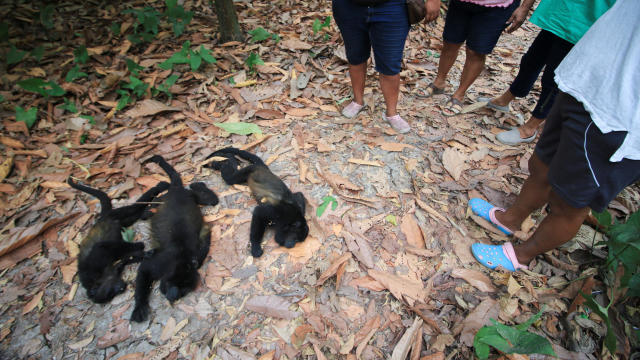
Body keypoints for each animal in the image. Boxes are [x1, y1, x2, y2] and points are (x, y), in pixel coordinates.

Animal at [131, 155, 220, 324]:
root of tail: (177, 190)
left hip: (192, 197)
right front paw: (139, 306)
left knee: (211, 199)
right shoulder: (162, 262)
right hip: (165, 198)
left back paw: (198, 185)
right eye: (174, 285)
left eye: (184, 290)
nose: (174, 296)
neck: (181, 260)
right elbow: (144, 269)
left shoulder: (196, 257)